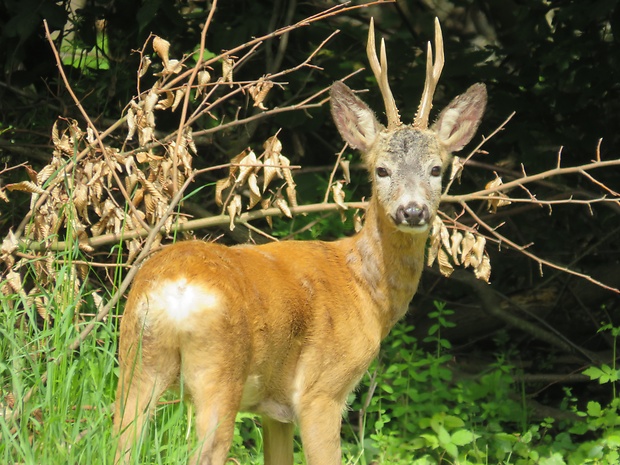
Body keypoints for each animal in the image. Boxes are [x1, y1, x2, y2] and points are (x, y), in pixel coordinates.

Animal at [114, 17, 486, 464]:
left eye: (436, 169)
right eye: (381, 169)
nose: (412, 211)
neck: (366, 289)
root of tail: (174, 291)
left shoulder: (275, 411)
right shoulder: (321, 391)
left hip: (135, 360)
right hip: (219, 370)